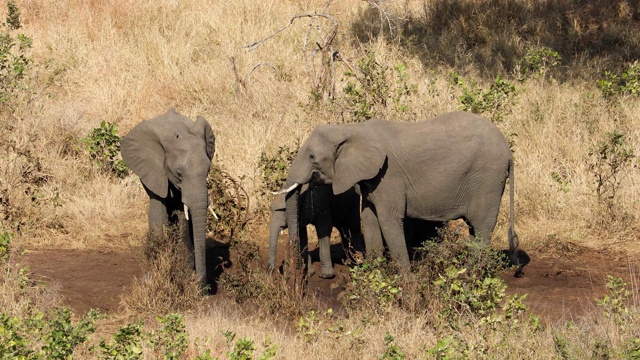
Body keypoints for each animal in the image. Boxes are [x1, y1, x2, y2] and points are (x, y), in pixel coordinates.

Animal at [121, 107, 216, 284]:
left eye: (208, 171)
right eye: (179, 174)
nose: (203, 286)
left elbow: (184, 218)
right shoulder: (156, 170)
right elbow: (158, 211)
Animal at [282, 111, 524, 278]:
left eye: (312, 157)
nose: (305, 273)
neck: (351, 129)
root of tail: (509, 151)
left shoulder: (389, 176)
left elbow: (388, 220)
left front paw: (408, 281)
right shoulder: (372, 180)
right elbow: (369, 220)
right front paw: (374, 277)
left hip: (487, 178)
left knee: (482, 226)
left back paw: (469, 276)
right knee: (476, 228)